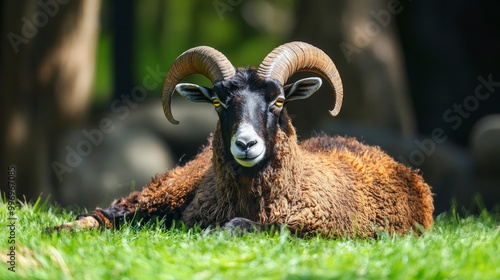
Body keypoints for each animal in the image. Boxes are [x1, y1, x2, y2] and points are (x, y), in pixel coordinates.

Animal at [48, 41, 436, 237]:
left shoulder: (315, 229)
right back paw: (60, 228)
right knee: (110, 213)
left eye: (279, 101)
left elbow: (240, 226)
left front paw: (218, 233)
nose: (246, 144)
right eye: (218, 102)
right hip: (169, 187)